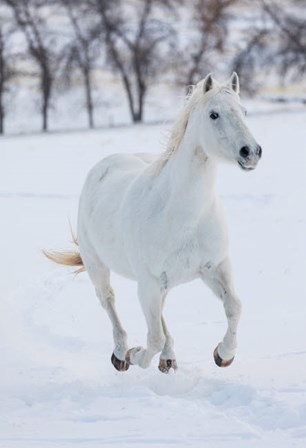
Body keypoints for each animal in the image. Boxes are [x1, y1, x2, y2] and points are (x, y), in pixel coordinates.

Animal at [45, 73, 260, 372]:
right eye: (214, 114)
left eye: (244, 111)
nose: (251, 152)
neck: (185, 216)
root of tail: (106, 163)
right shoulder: (148, 282)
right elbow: (154, 337)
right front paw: (135, 355)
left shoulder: (215, 267)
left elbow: (234, 307)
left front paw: (223, 354)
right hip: (98, 267)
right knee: (108, 300)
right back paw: (121, 353)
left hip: (160, 284)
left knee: (159, 316)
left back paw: (168, 358)